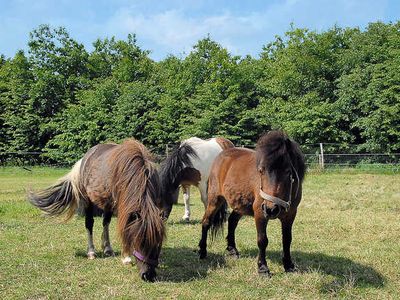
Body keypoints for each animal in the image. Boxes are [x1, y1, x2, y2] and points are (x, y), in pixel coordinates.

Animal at [28, 139, 167, 282]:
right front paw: (126, 257)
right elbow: (123, 227)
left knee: (105, 222)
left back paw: (108, 249)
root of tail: (85, 158)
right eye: (139, 241)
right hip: (88, 200)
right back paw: (91, 252)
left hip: (107, 203)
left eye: (159, 243)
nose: (148, 275)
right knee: (89, 224)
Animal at [198, 130, 306, 276]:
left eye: (288, 172)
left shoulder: (290, 215)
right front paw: (263, 268)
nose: (271, 209)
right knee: (206, 221)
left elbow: (287, 239)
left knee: (232, 222)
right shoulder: (260, 213)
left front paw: (289, 265)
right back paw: (202, 252)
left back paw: (232, 250)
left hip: (240, 205)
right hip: (215, 200)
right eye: (261, 170)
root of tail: (221, 155)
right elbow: (262, 240)